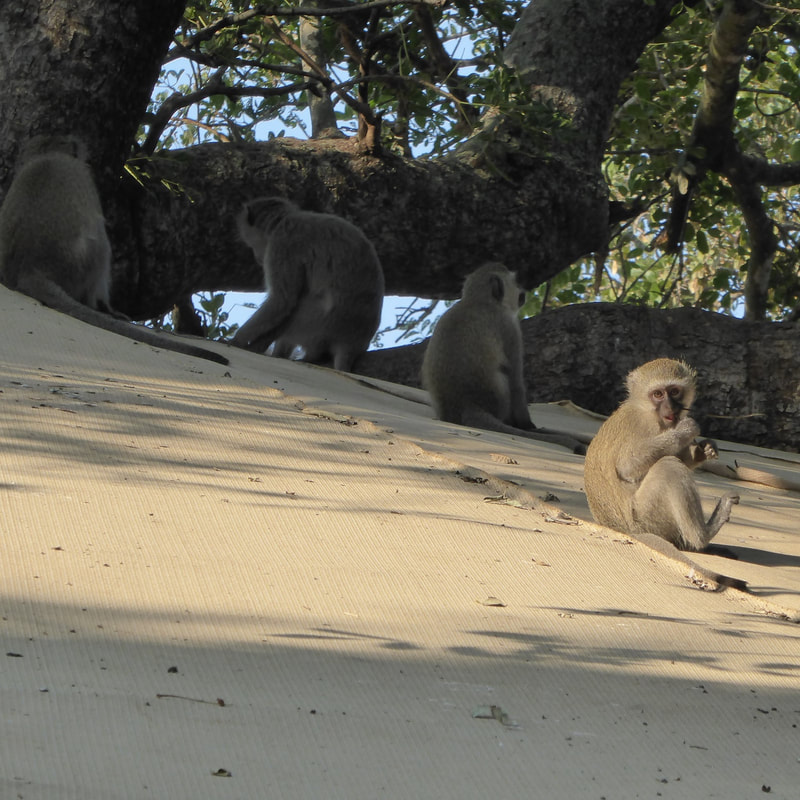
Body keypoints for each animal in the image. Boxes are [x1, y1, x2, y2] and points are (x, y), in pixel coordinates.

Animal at [231, 196, 385, 373]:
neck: (284, 220)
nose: (257, 258)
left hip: (314, 323)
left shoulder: (283, 243)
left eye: (251, 245)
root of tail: (350, 344)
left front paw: (238, 339)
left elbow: (282, 300)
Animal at [420, 262, 586, 454]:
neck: (478, 300)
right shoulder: (510, 327)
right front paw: (527, 425)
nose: (523, 291)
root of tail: (466, 404)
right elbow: (515, 380)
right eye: (516, 282)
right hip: (499, 402)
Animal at [583, 358, 740, 551]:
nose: (671, 407)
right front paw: (685, 430)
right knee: (668, 466)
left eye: (674, 391)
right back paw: (703, 536)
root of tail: (625, 531)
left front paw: (704, 450)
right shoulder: (642, 426)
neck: (646, 409)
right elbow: (627, 467)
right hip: (645, 519)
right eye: (658, 394)